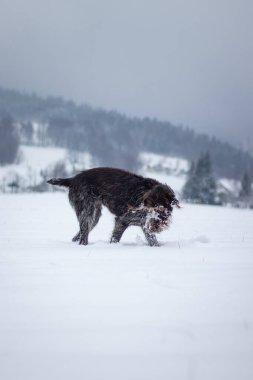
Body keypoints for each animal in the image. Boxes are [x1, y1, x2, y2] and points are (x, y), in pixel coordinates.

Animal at [47, 167, 180, 246]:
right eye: (156, 207)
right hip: (87, 213)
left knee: (79, 234)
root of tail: (73, 179)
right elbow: (115, 238)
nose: (160, 223)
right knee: (84, 234)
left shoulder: (145, 225)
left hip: (94, 216)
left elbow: (153, 241)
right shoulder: (122, 220)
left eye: (166, 208)